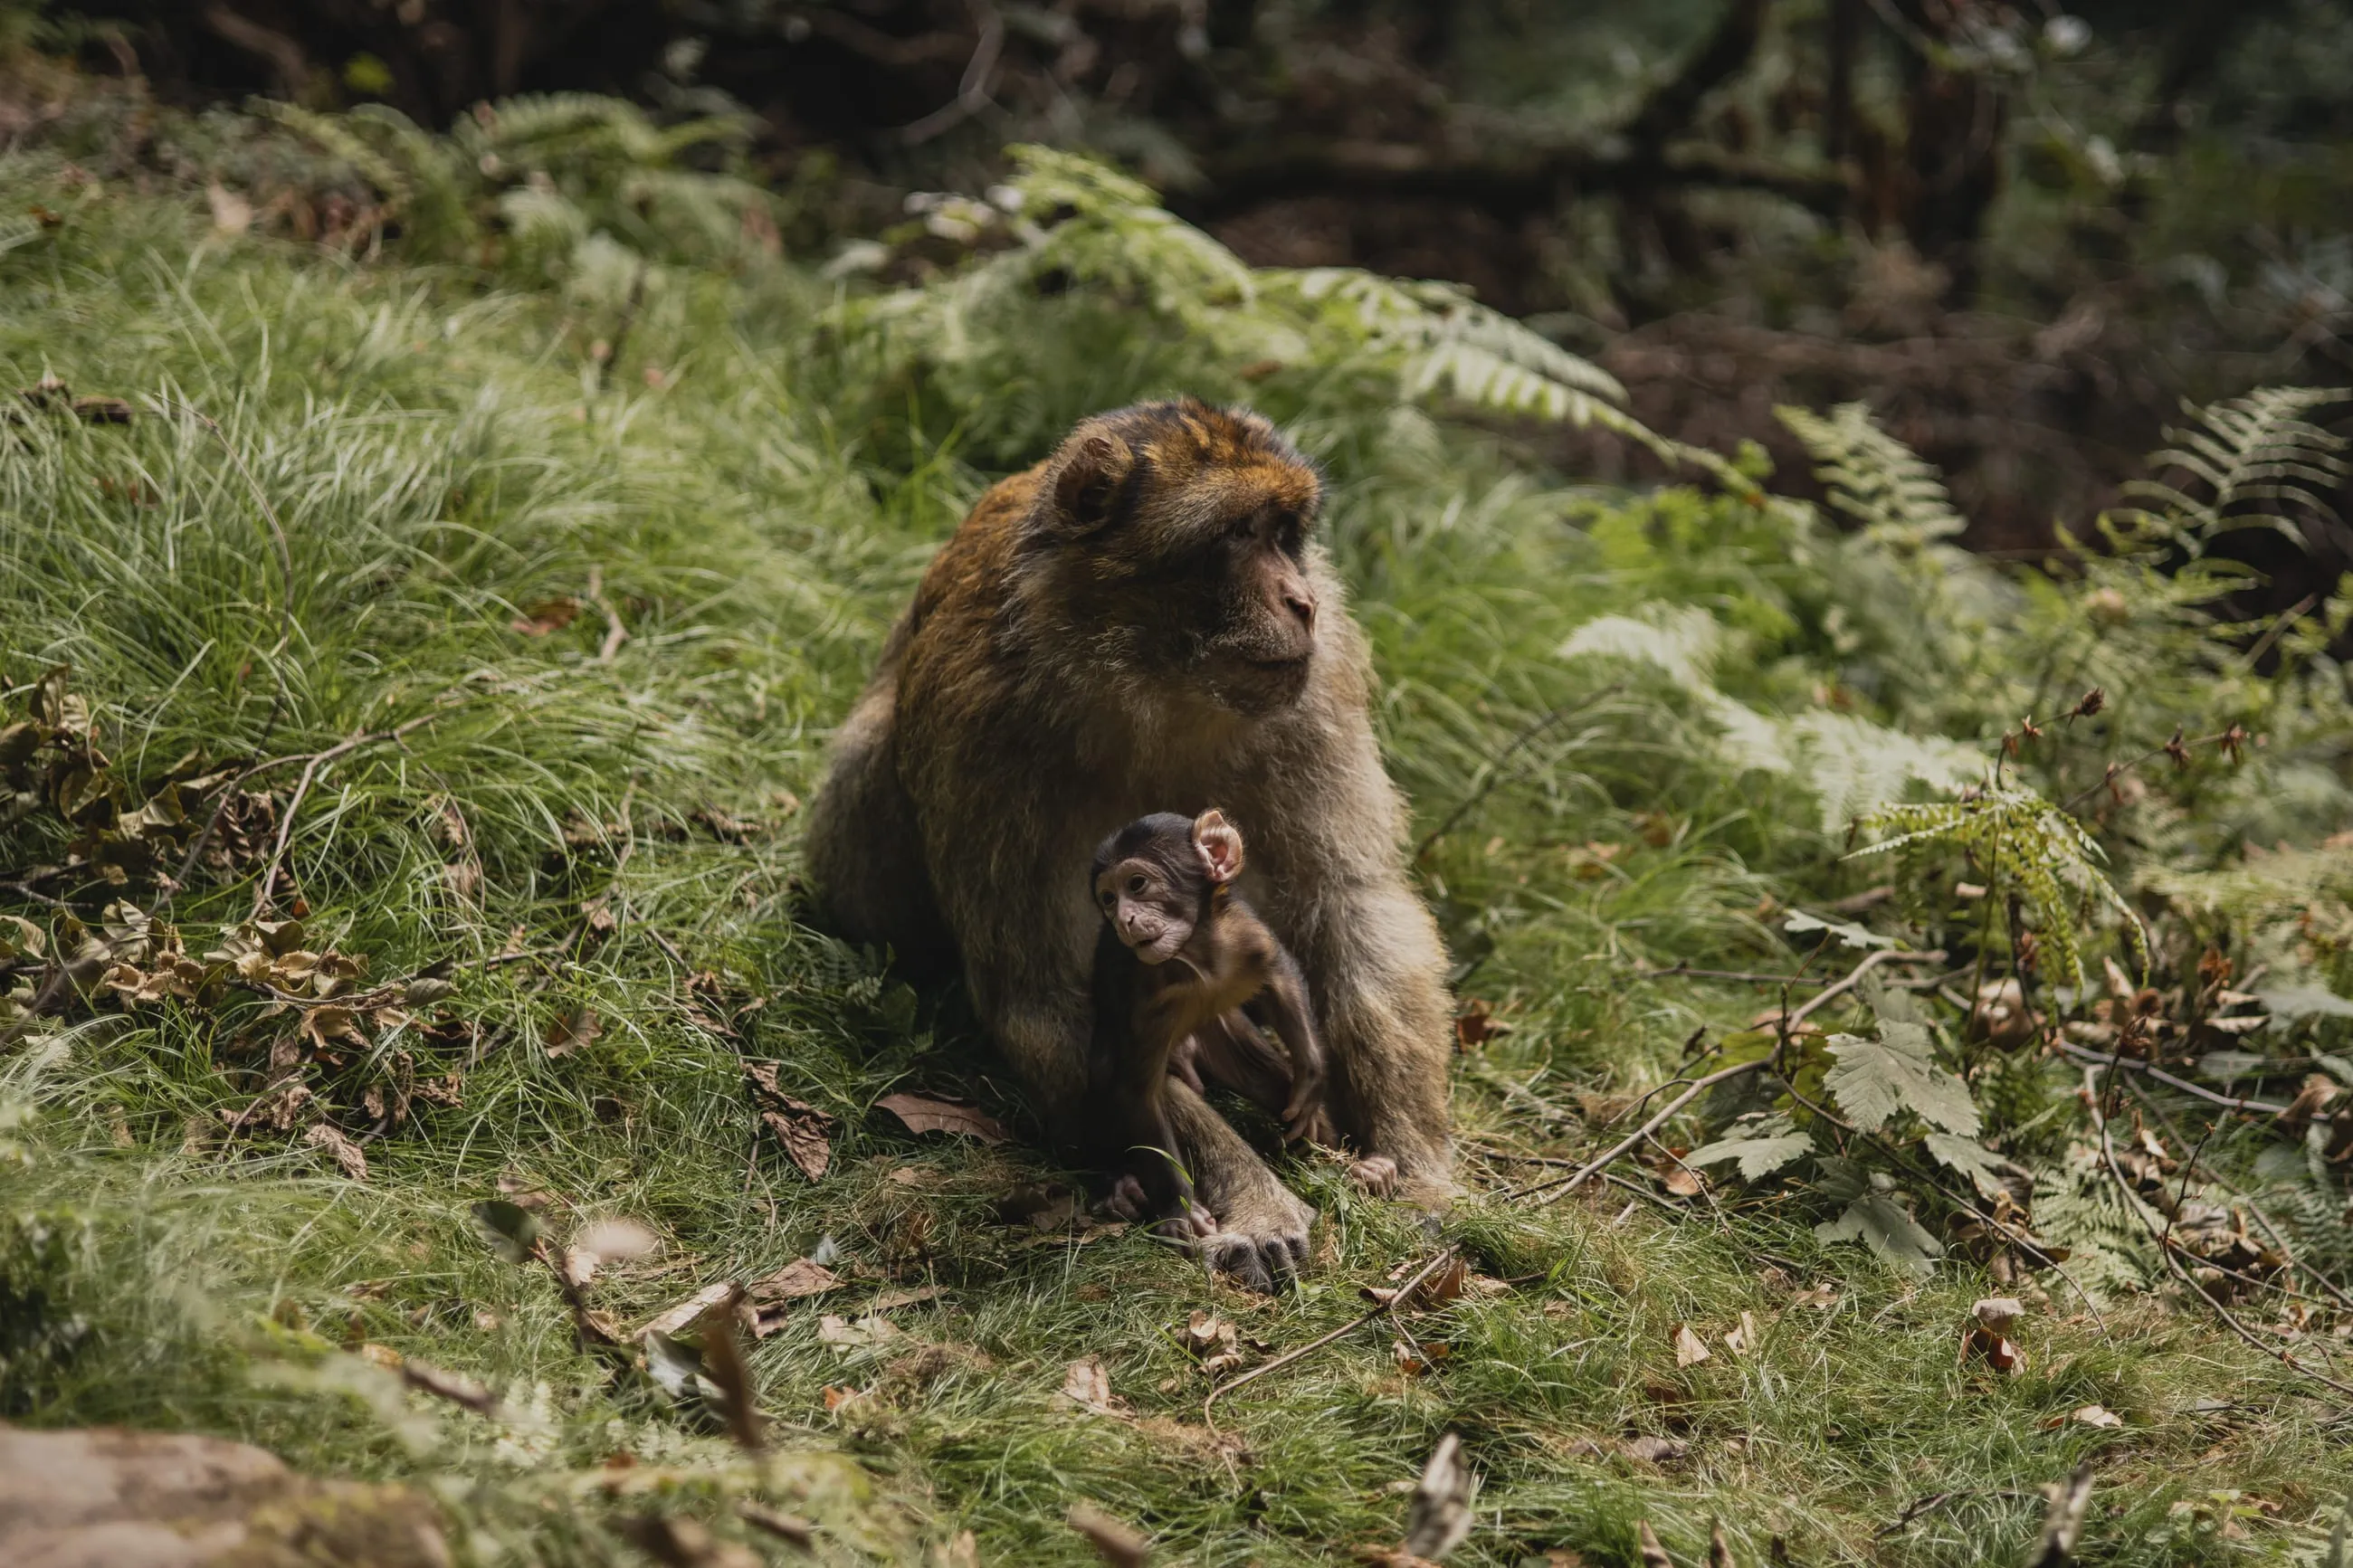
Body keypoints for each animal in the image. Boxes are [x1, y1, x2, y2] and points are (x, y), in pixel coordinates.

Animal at [1088, 808, 1335, 1230]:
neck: (1196, 956)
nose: (1123, 920)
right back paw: (1121, 1186)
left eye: (1137, 884)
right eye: (1109, 898)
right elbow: (1137, 1092)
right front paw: (1179, 1209)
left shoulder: (1243, 931)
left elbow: (1280, 973)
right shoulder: (1139, 996)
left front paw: (1311, 1076)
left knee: (1267, 1079)